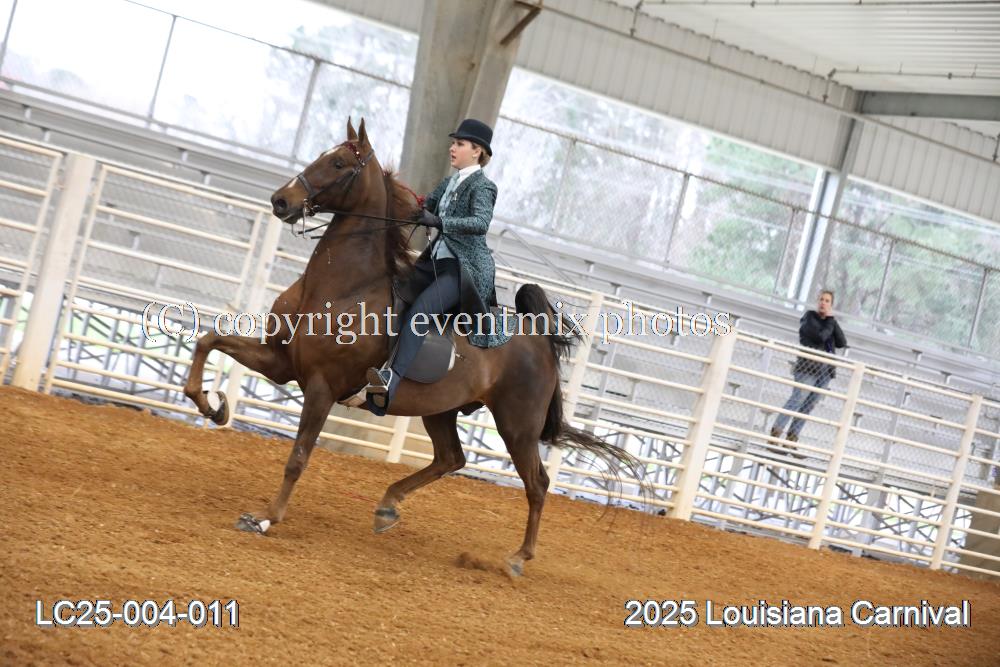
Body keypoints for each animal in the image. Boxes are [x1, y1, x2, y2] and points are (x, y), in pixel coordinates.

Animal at [183, 117, 645, 576]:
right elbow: (209, 340)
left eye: (337, 163)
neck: (343, 286)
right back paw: (388, 507)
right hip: (441, 410)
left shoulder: (321, 386)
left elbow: (298, 455)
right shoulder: (279, 363)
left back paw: (516, 559)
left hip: (517, 425)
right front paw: (212, 405)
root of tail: (538, 338)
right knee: (451, 459)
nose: (281, 200)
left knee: (537, 483)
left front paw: (264, 518)